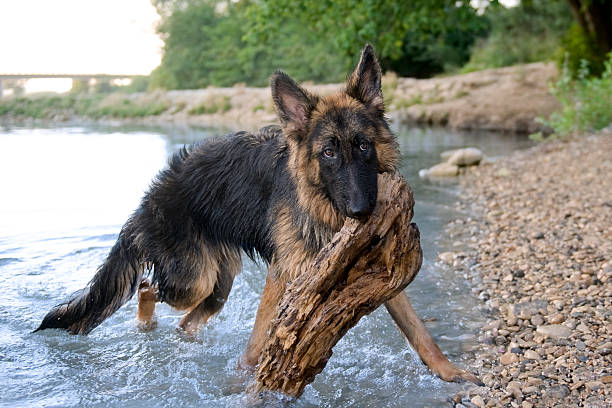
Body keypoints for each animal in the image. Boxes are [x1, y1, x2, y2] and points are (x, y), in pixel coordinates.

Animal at [37, 45, 478, 386]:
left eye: (364, 146)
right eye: (328, 152)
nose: (361, 210)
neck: (322, 212)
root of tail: (152, 196)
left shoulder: (383, 278)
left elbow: (420, 332)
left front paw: (450, 372)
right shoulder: (283, 276)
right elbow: (257, 341)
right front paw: (243, 381)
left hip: (219, 285)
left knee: (184, 318)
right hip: (195, 279)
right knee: (147, 288)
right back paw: (147, 327)